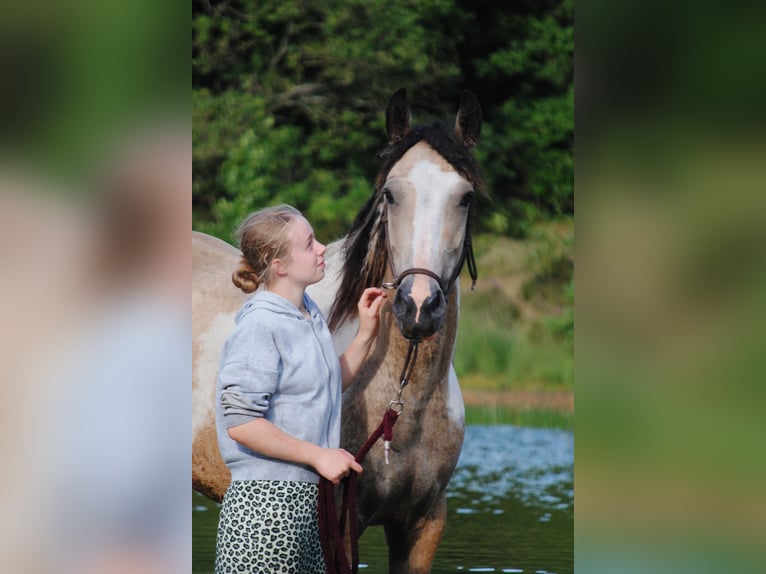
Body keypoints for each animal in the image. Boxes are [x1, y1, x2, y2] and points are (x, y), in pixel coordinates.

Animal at [192, 87, 483, 573]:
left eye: (465, 197)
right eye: (390, 194)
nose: (418, 306)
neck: (403, 401)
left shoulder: (423, 525)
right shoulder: (344, 524)